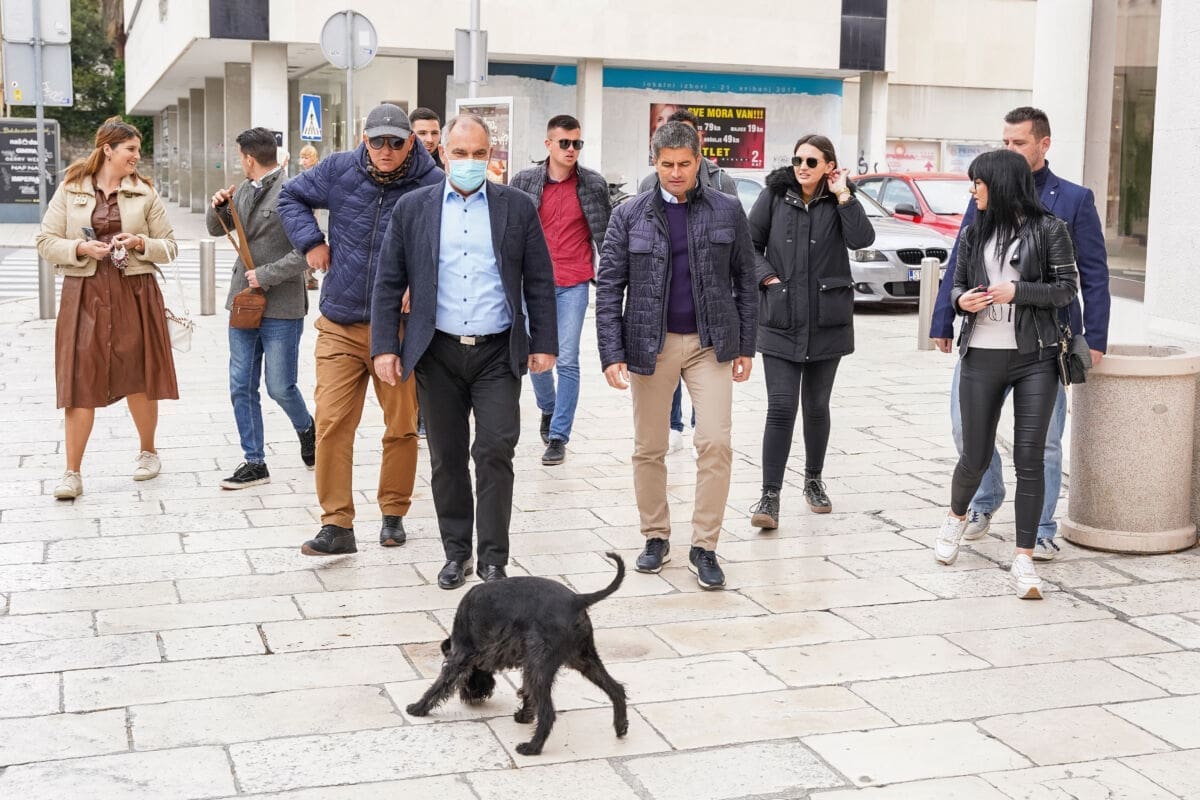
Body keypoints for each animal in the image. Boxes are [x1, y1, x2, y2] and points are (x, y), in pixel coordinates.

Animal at [406, 552, 628, 755]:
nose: (474, 695)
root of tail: (577, 600)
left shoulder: (461, 655)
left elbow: (441, 683)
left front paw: (418, 708)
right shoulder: (525, 659)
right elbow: (527, 692)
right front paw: (524, 715)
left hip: (540, 668)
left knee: (548, 713)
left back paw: (532, 747)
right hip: (583, 659)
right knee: (616, 688)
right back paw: (621, 726)